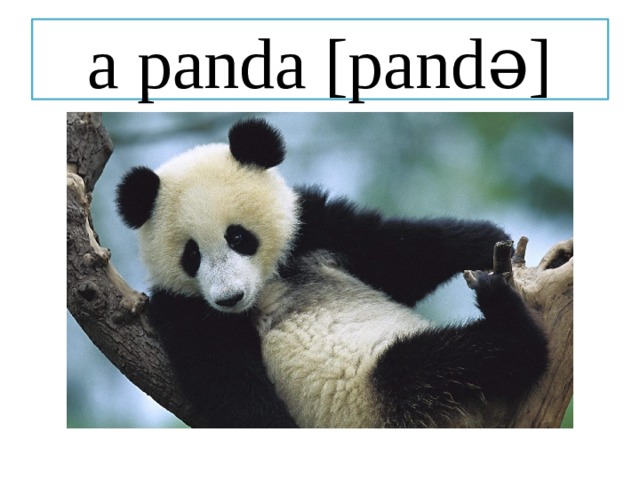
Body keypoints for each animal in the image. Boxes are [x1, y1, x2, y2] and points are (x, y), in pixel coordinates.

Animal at [116, 117, 548, 428]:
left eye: (238, 237)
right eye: (192, 255)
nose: (229, 297)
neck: (267, 284)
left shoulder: (314, 229)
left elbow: (397, 254)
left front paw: (488, 241)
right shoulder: (186, 311)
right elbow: (230, 384)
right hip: (383, 397)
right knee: (442, 363)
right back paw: (504, 316)